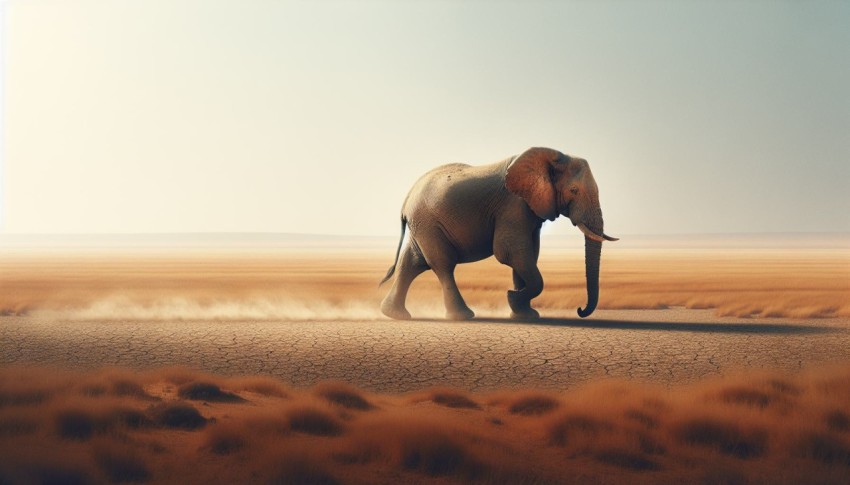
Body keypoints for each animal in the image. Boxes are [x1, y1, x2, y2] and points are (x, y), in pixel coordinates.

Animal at [379, 147, 617, 321]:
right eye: (574, 190)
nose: (579, 310)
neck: (551, 157)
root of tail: (407, 199)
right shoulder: (513, 205)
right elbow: (511, 252)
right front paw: (514, 298)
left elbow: (529, 253)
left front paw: (524, 314)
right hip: (429, 224)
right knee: (443, 265)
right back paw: (463, 316)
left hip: (422, 225)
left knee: (411, 263)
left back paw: (394, 315)